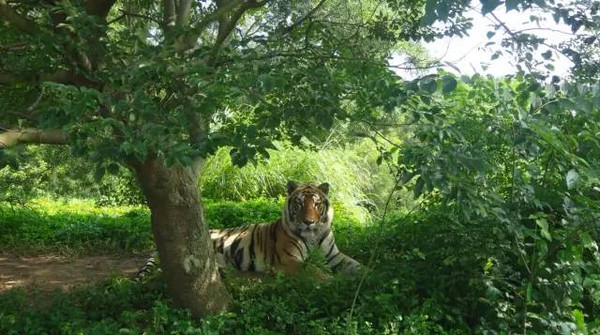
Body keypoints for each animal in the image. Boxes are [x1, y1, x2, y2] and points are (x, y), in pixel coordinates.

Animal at [137, 181, 360, 280]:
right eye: (299, 204)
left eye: (316, 204)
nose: (309, 222)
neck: (313, 236)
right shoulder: (288, 261)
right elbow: (313, 269)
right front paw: (332, 281)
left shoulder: (334, 256)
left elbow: (357, 265)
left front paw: (367, 277)